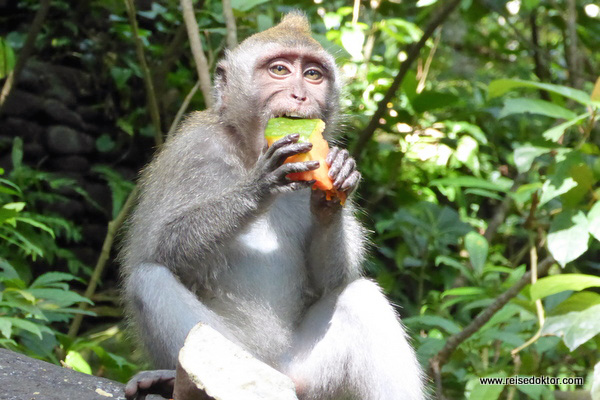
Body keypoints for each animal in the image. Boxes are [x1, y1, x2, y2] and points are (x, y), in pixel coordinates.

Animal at [120, 10, 422, 398]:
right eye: (279, 69)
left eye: (313, 74)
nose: (300, 94)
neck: (248, 152)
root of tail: (273, 374)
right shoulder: (192, 152)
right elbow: (160, 247)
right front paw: (259, 186)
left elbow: (331, 281)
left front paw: (336, 184)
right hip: (227, 350)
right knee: (149, 279)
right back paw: (170, 376)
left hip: (305, 376)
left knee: (362, 298)